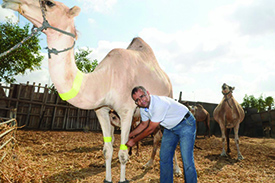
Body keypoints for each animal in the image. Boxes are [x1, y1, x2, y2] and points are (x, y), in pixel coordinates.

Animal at [2, 1, 174, 182]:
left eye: (50, 3)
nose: (11, 2)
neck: (106, 79)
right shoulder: (102, 110)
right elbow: (107, 150)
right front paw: (107, 178)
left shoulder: (126, 111)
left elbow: (122, 153)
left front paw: (122, 177)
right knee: (157, 136)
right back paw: (149, 164)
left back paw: (171, 168)